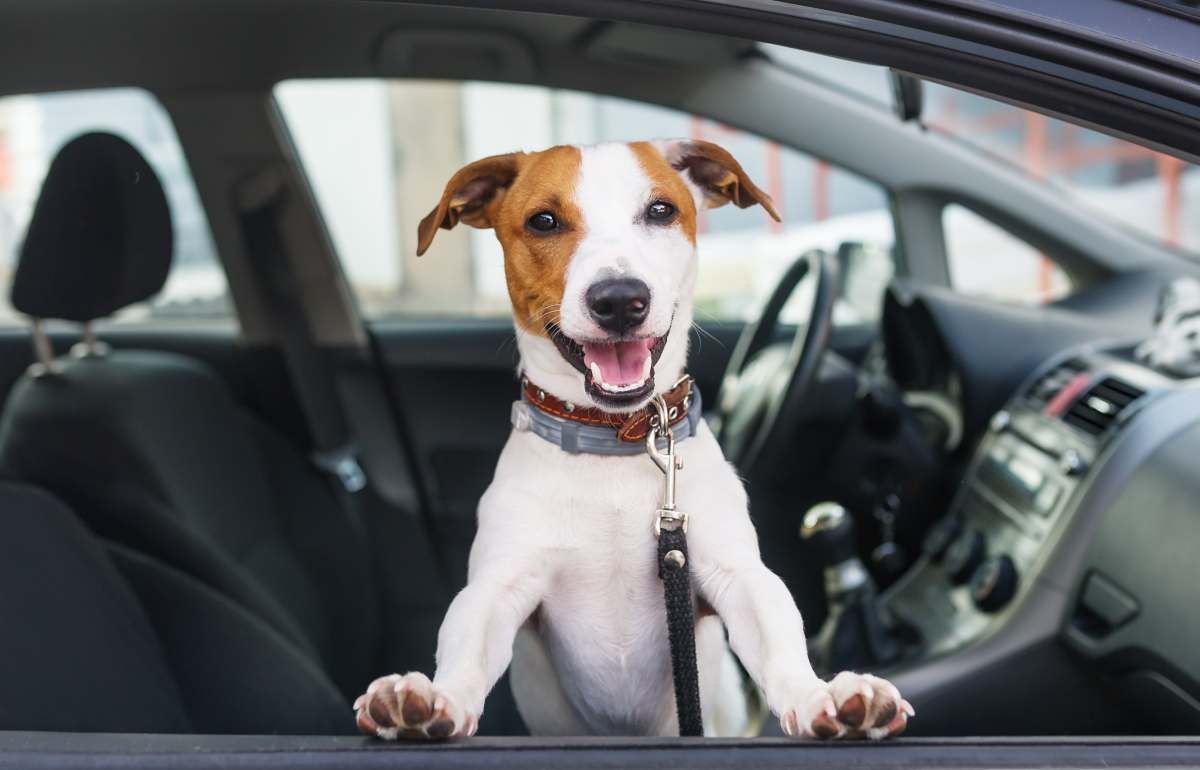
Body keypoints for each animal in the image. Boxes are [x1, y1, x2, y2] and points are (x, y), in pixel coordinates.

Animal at [350, 137, 912, 738]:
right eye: (543, 221)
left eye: (661, 210)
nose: (619, 299)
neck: (613, 439)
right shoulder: (499, 587)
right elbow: (466, 645)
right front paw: (434, 701)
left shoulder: (734, 574)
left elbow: (779, 634)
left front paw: (820, 696)